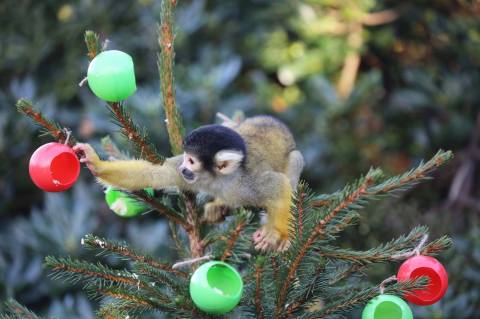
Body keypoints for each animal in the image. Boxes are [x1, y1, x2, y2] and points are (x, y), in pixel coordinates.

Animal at [74, 116, 304, 251]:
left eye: (192, 161)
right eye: (185, 158)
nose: (183, 168)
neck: (219, 180)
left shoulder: (249, 182)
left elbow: (278, 185)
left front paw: (278, 234)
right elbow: (156, 173)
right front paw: (95, 163)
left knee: (295, 161)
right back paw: (220, 205)